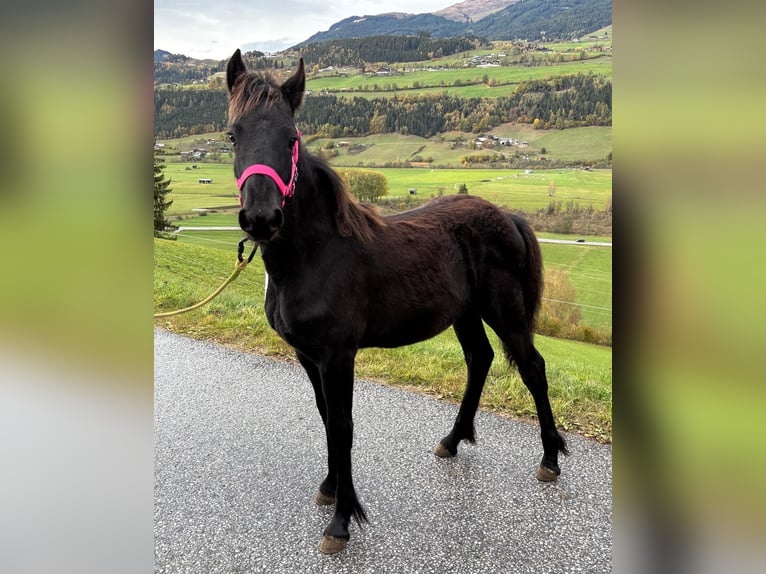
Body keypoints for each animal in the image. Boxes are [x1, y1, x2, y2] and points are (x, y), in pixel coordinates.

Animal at [225, 49, 569, 554]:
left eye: (292, 138)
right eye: (233, 135)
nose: (261, 218)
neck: (316, 252)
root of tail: (507, 215)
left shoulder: (338, 356)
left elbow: (343, 427)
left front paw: (342, 521)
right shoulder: (308, 357)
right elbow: (326, 419)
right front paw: (330, 489)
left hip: (506, 312)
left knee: (532, 368)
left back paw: (550, 459)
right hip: (465, 314)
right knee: (480, 359)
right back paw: (453, 439)